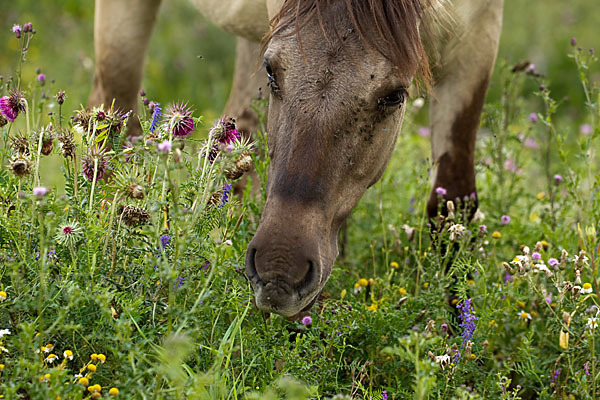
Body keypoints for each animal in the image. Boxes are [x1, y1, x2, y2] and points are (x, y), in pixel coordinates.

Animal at [90, 0, 502, 318]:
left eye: (394, 95)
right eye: (272, 71)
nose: (279, 272)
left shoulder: (477, 41)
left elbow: (452, 209)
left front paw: (458, 341)